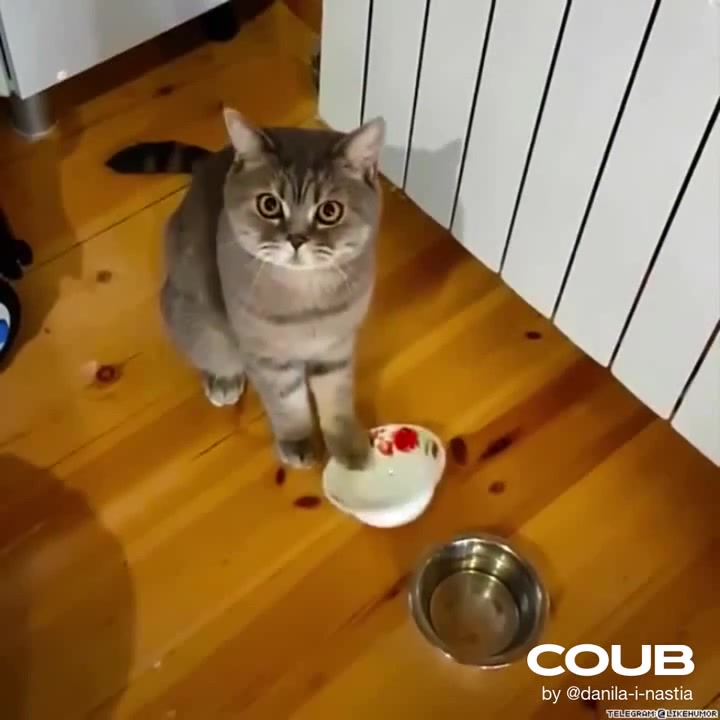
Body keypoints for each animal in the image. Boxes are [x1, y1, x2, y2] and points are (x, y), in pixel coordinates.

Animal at [105, 108, 385, 471]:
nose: (296, 239)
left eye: (329, 211)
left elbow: (336, 398)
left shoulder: (336, 347)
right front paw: (297, 441)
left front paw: (348, 445)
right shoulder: (267, 357)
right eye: (269, 205)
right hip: (199, 324)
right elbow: (287, 403)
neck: (306, 299)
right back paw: (223, 380)